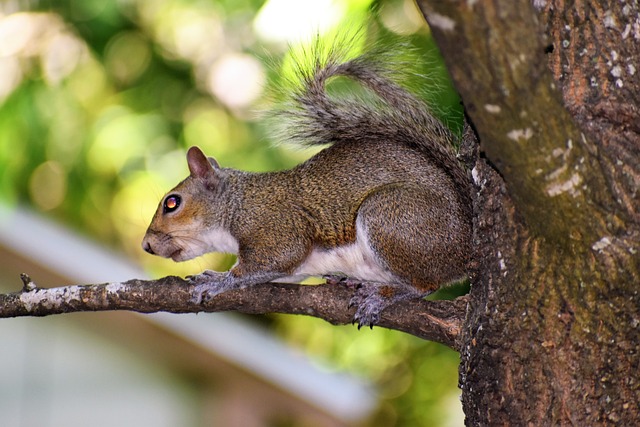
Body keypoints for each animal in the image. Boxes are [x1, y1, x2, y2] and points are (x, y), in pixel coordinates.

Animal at [142, 46, 472, 328]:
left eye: (172, 203)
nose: (146, 245)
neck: (238, 202)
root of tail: (466, 243)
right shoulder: (291, 269)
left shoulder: (277, 227)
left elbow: (268, 260)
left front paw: (217, 280)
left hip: (390, 218)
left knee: (425, 284)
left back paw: (381, 295)